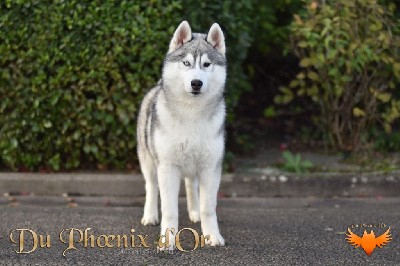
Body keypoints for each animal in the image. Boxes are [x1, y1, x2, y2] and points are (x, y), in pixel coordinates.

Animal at [137, 20, 225, 247]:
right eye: (186, 63)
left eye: (206, 64)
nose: (196, 83)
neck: (191, 114)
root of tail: (158, 85)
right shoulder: (167, 167)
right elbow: (169, 210)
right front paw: (167, 240)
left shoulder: (210, 168)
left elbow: (208, 208)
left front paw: (212, 235)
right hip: (148, 161)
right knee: (151, 186)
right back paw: (150, 215)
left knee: (191, 186)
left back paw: (194, 212)